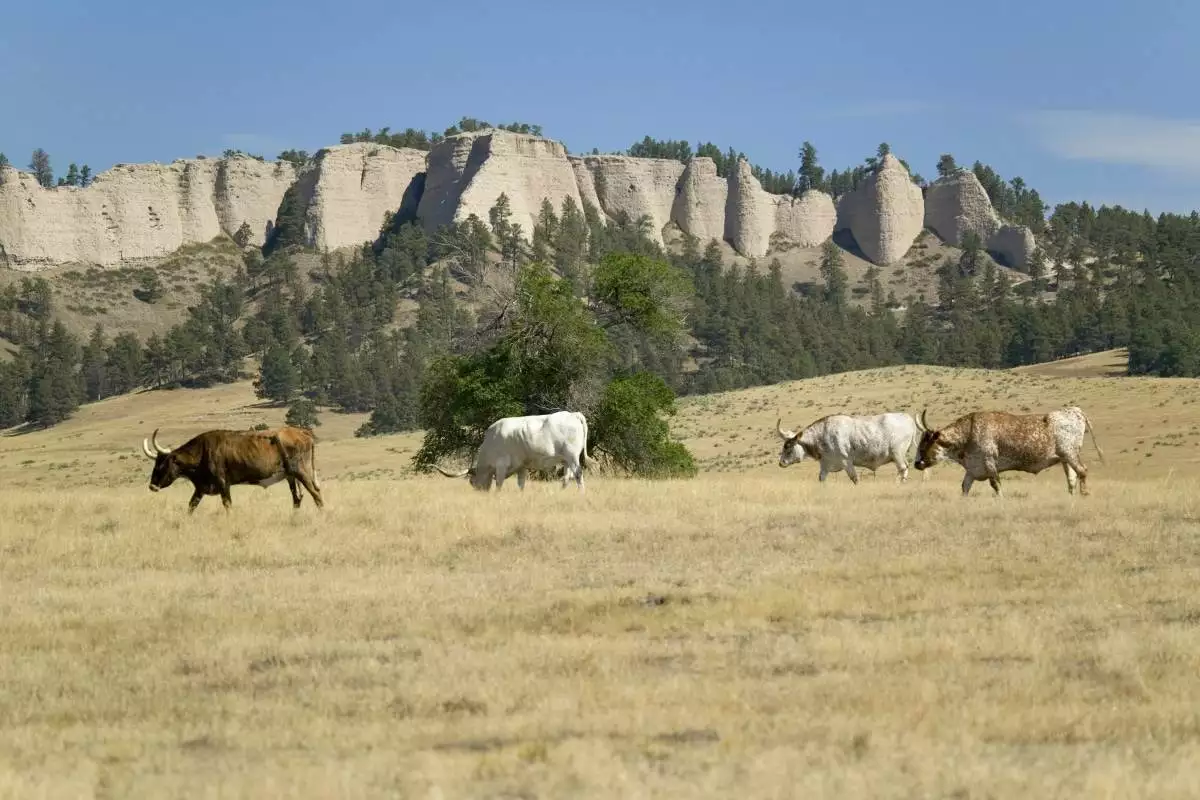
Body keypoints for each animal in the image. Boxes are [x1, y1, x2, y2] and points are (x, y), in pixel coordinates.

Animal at [140, 426, 324, 512]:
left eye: (163, 464)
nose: (152, 486)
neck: (203, 452)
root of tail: (302, 432)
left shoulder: (223, 484)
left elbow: (227, 504)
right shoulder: (201, 488)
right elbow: (191, 506)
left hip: (302, 472)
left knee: (316, 494)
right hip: (291, 476)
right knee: (297, 498)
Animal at [433, 410, 589, 492]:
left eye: (472, 482)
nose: (480, 493)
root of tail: (573, 414)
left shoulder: (501, 465)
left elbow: (499, 484)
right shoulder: (521, 467)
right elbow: (521, 484)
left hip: (572, 456)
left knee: (578, 474)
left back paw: (581, 493)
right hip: (566, 460)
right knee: (567, 477)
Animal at [775, 412, 925, 483]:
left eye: (788, 446)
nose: (781, 463)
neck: (823, 435)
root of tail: (907, 418)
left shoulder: (846, 462)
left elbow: (855, 478)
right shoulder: (826, 464)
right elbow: (821, 478)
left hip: (897, 453)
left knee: (903, 469)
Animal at [913, 407, 1103, 496]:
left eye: (925, 444)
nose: (916, 464)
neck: (969, 432)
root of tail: (1074, 411)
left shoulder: (989, 462)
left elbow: (996, 484)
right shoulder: (973, 469)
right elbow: (965, 487)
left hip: (1070, 454)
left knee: (1082, 471)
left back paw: (1084, 494)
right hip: (1065, 459)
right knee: (1071, 478)